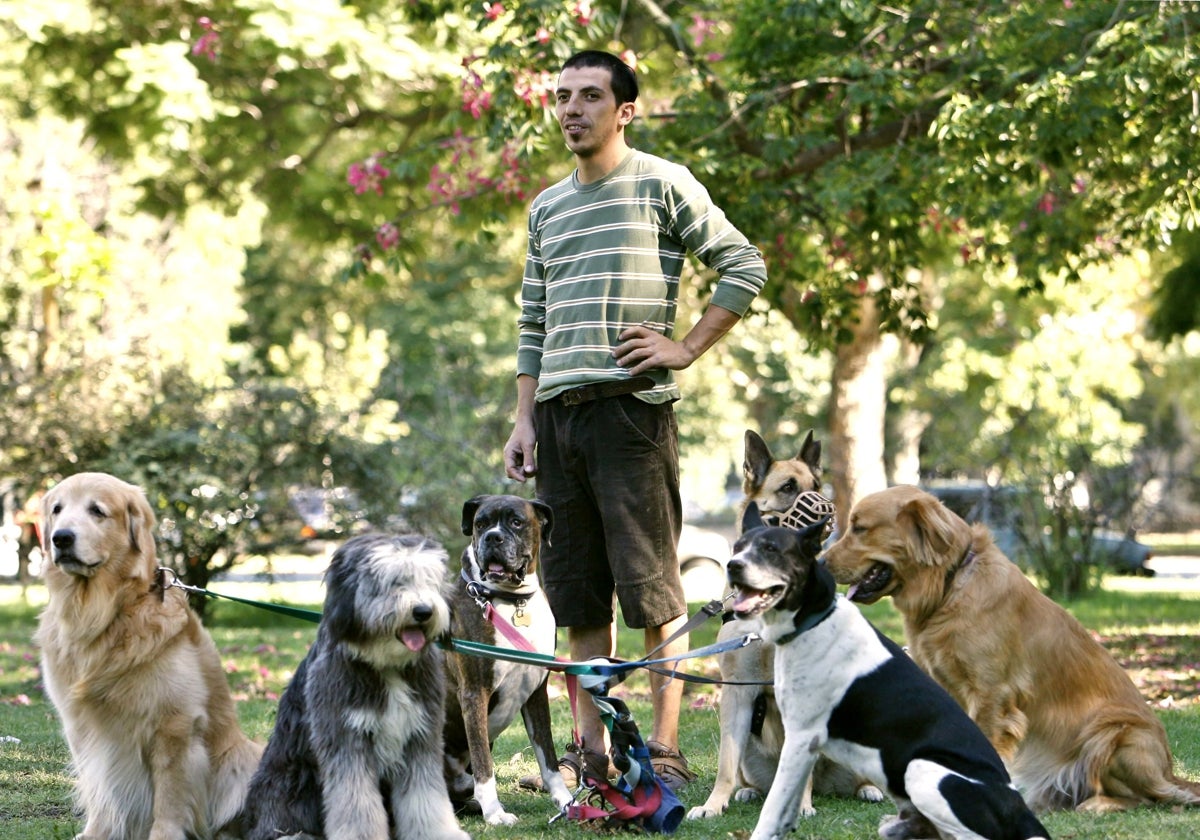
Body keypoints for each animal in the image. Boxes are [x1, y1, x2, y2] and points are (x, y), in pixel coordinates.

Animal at [240, 535, 468, 835]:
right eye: (394, 581)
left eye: (429, 580)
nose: (423, 611)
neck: (386, 666)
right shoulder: (347, 739)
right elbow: (355, 802)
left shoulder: (420, 735)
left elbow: (425, 796)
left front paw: (437, 833)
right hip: (286, 778)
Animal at [444, 492, 573, 825]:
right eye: (481, 523)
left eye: (516, 521)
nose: (493, 537)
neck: (513, 601)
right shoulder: (474, 693)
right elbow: (484, 764)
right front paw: (495, 812)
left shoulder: (537, 694)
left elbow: (548, 758)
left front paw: (568, 802)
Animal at [720, 506, 1051, 840]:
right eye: (737, 548)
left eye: (771, 549)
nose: (733, 566)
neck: (815, 620)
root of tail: (1021, 811)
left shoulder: (802, 737)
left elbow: (773, 807)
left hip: (922, 770)